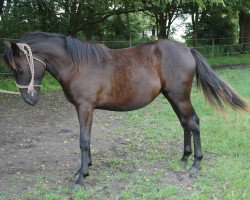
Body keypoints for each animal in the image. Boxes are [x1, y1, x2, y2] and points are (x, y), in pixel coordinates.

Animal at [2, 32, 249, 187]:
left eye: (20, 68)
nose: (30, 100)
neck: (78, 64)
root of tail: (187, 49)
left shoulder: (85, 107)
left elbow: (83, 141)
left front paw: (81, 177)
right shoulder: (85, 109)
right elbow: (87, 139)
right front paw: (85, 168)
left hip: (180, 97)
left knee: (193, 122)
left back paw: (196, 164)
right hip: (172, 96)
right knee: (185, 123)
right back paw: (184, 157)